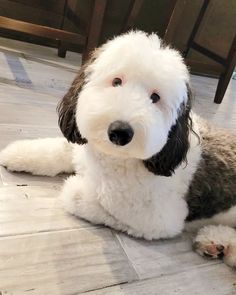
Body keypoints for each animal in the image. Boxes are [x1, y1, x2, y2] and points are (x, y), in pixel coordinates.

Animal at [0, 31, 236, 268]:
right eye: (116, 81)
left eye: (155, 97)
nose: (120, 131)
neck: (111, 158)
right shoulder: (81, 148)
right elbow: (56, 149)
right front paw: (17, 153)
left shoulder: (160, 219)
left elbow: (87, 199)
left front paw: (76, 187)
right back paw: (216, 242)